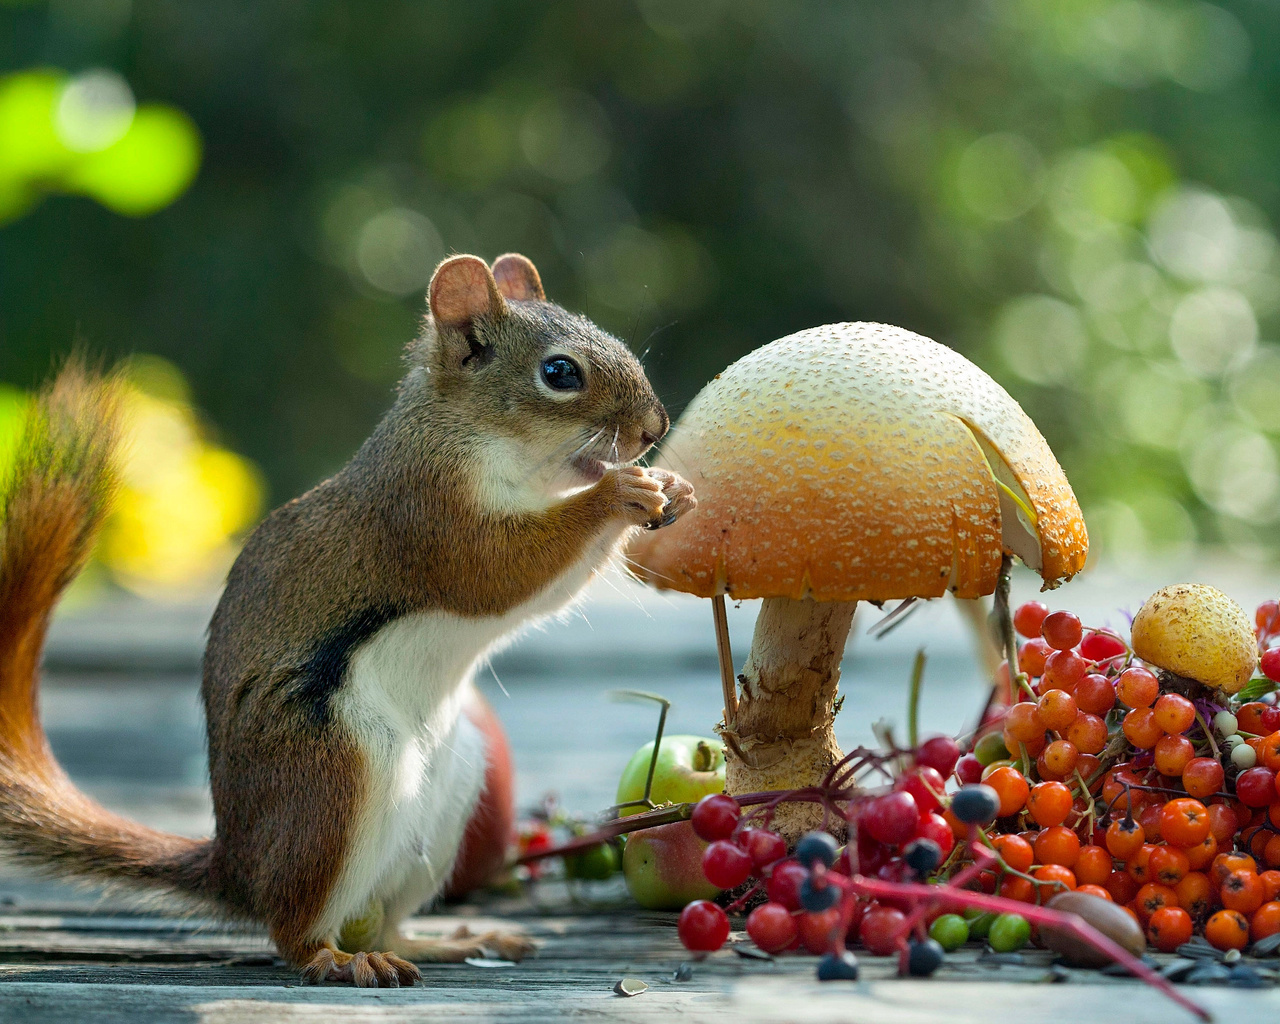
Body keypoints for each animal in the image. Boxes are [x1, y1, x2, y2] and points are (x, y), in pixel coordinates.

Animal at [0, 253, 696, 983]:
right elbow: (500, 569)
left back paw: (446, 941)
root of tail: (238, 870)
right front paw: (616, 493)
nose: (654, 428)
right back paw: (337, 958)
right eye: (560, 373)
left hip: (452, 791)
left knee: (384, 917)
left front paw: (671, 489)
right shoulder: (424, 515)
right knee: (294, 929)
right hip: (332, 770)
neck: (470, 434)